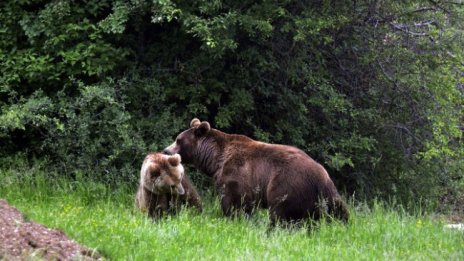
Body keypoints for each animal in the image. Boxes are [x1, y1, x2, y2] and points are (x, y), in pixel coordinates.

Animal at [163, 119, 348, 224]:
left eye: (178, 140)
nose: (166, 150)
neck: (215, 160)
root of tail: (322, 176)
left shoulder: (236, 176)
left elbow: (233, 202)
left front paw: (232, 220)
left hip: (287, 184)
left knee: (279, 212)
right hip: (324, 196)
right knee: (337, 212)